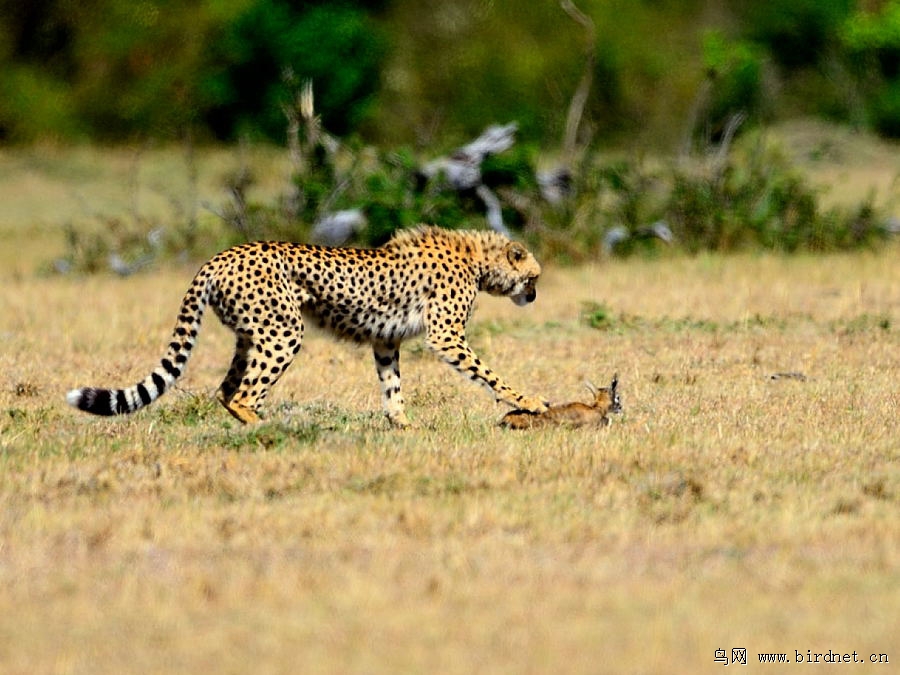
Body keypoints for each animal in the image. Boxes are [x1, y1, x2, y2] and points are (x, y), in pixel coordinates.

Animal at [67, 227, 544, 428]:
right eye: (534, 277)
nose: (535, 296)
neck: (477, 260)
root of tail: (221, 255)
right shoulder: (446, 336)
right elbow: (489, 375)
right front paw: (530, 401)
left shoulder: (385, 339)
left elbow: (391, 385)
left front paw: (402, 425)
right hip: (283, 333)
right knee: (244, 394)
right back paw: (271, 427)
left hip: (253, 334)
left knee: (225, 391)